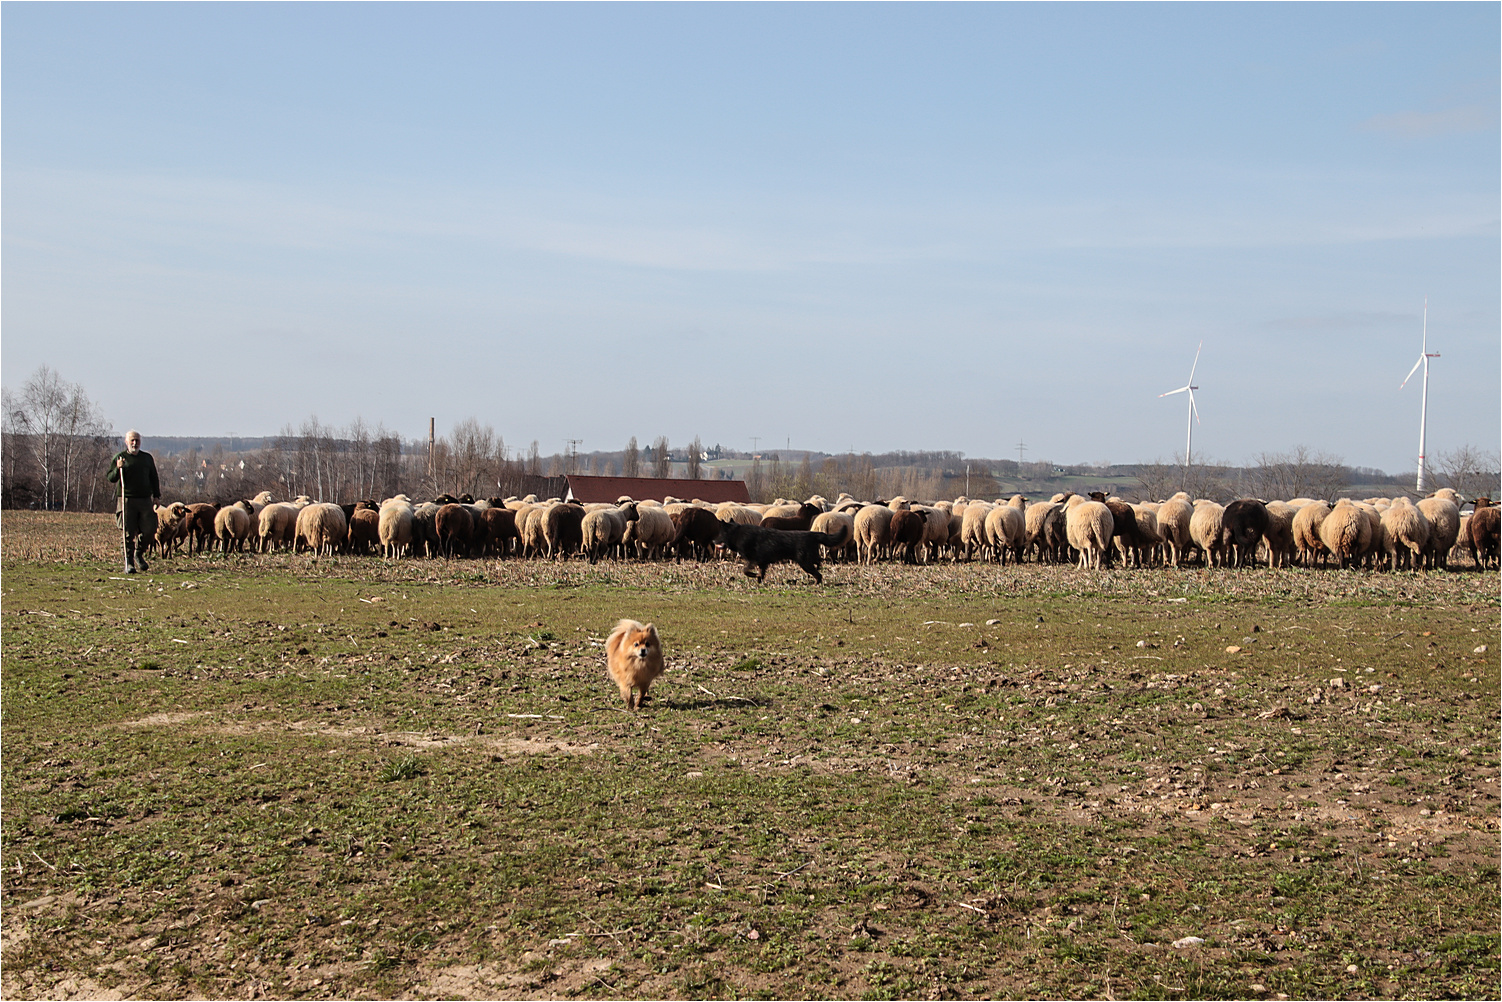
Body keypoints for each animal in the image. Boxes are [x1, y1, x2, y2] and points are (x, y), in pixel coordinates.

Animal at [711, 522, 847, 582]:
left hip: (804, 562)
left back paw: (816, 583)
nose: (713, 540)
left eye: (720, 534)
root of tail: (813, 534)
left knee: (818, 574)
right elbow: (761, 573)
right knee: (818, 564)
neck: (737, 533)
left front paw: (754, 576)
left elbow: (745, 571)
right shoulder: (762, 563)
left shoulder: (754, 560)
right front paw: (759, 579)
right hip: (808, 560)